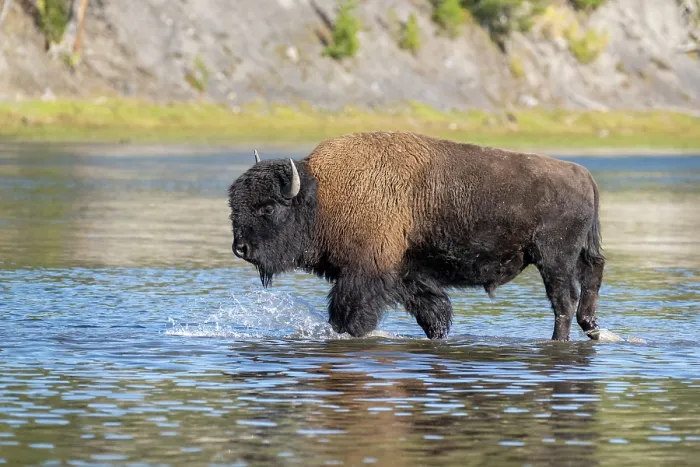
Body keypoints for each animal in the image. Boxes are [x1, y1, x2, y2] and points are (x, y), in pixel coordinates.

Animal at [227, 131, 605, 341]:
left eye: (268, 208)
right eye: (235, 206)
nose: (240, 248)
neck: (326, 194)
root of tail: (584, 175)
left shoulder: (365, 273)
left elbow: (348, 314)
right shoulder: (406, 273)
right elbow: (434, 311)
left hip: (553, 259)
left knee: (563, 301)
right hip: (574, 256)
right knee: (590, 281)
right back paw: (592, 329)